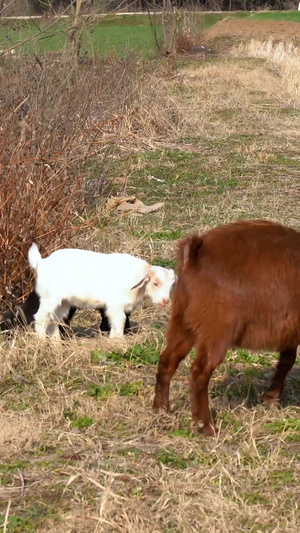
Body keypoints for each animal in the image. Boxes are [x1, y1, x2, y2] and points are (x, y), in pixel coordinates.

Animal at [28, 243, 176, 338]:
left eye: (170, 286)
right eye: (155, 283)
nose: (165, 301)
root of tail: (41, 262)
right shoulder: (115, 305)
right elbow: (121, 320)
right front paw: (119, 340)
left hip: (63, 303)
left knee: (54, 319)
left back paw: (56, 343)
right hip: (50, 298)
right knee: (41, 317)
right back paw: (41, 341)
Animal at [154, 220, 298, 436]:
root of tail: (196, 252)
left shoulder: (290, 331)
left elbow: (287, 360)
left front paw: (271, 400)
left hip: (183, 320)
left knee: (167, 359)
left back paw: (161, 409)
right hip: (218, 329)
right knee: (199, 371)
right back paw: (206, 426)